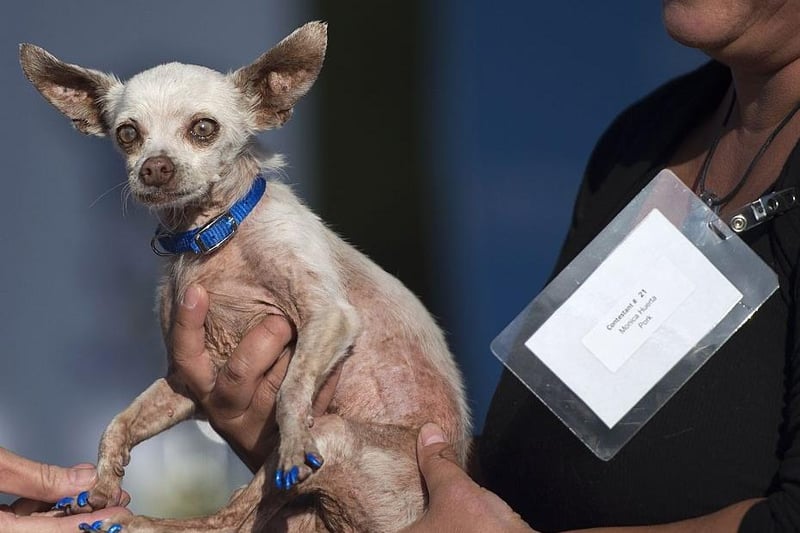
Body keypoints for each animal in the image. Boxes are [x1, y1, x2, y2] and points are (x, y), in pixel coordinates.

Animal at [20, 21, 468, 532]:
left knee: (229, 516)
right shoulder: (187, 383)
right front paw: (98, 488)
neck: (210, 235)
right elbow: (119, 422)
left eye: (203, 128)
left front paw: (292, 440)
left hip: (336, 436)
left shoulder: (329, 317)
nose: (154, 167)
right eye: (128, 134)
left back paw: (146, 522)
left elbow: (291, 389)